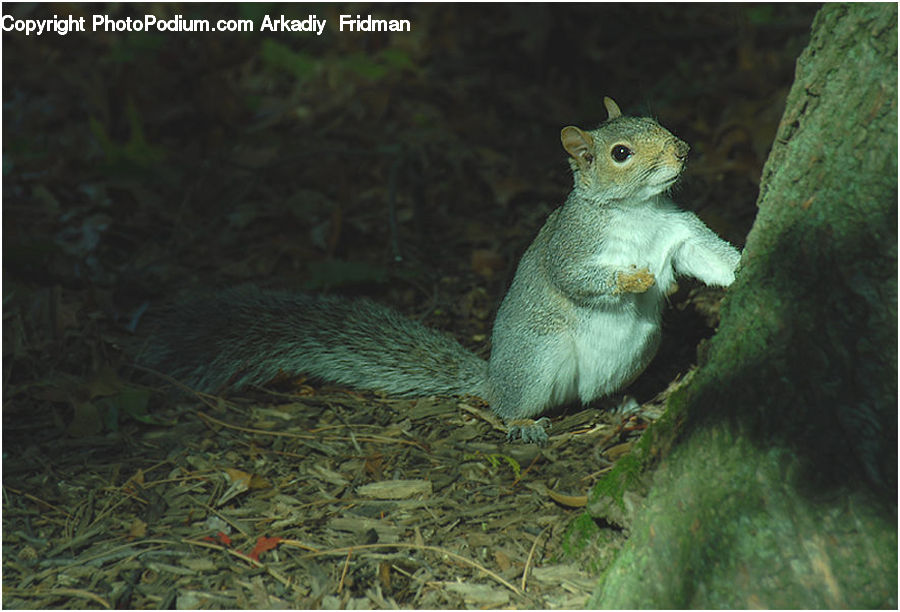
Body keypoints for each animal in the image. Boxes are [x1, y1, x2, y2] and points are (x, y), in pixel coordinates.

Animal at [138, 97, 741, 443]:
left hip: (634, 354)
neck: (638, 212)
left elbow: (707, 257)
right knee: (511, 406)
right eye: (620, 152)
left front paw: (744, 267)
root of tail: (492, 377)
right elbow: (579, 279)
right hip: (538, 357)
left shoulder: (679, 233)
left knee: (592, 395)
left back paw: (621, 402)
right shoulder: (571, 247)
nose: (684, 149)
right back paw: (524, 423)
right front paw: (638, 279)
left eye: (659, 122)